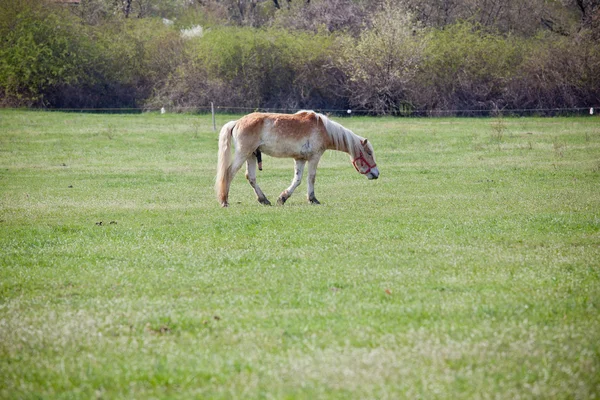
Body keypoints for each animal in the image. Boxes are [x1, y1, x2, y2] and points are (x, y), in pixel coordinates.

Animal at [213, 110, 378, 208]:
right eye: (369, 153)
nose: (376, 173)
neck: (323, 129)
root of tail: (237, 122)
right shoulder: (314, 157)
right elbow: (311, 178)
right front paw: (312, 199)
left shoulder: (300, 159)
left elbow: (297, 180)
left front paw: (283, 198)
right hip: (243, 153)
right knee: (229, 173)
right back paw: (224, 201)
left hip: (251, 155)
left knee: (251, 177)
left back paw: (264, 200)